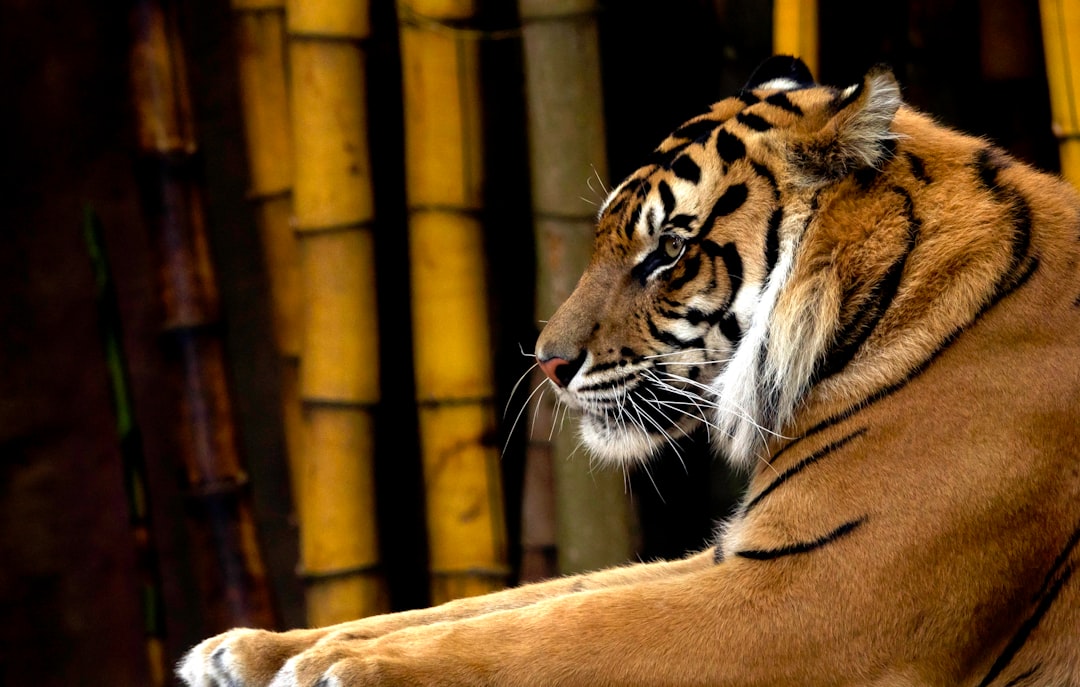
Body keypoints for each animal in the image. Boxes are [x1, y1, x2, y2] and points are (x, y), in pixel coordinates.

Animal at [179, 57, 1080, 687]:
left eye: (669, 252)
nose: (545, 360)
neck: (891, 298)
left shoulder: (812, 595)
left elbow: (553, 632)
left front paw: (345, 666)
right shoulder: (740, 557)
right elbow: (511, 600)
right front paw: (252, 649)